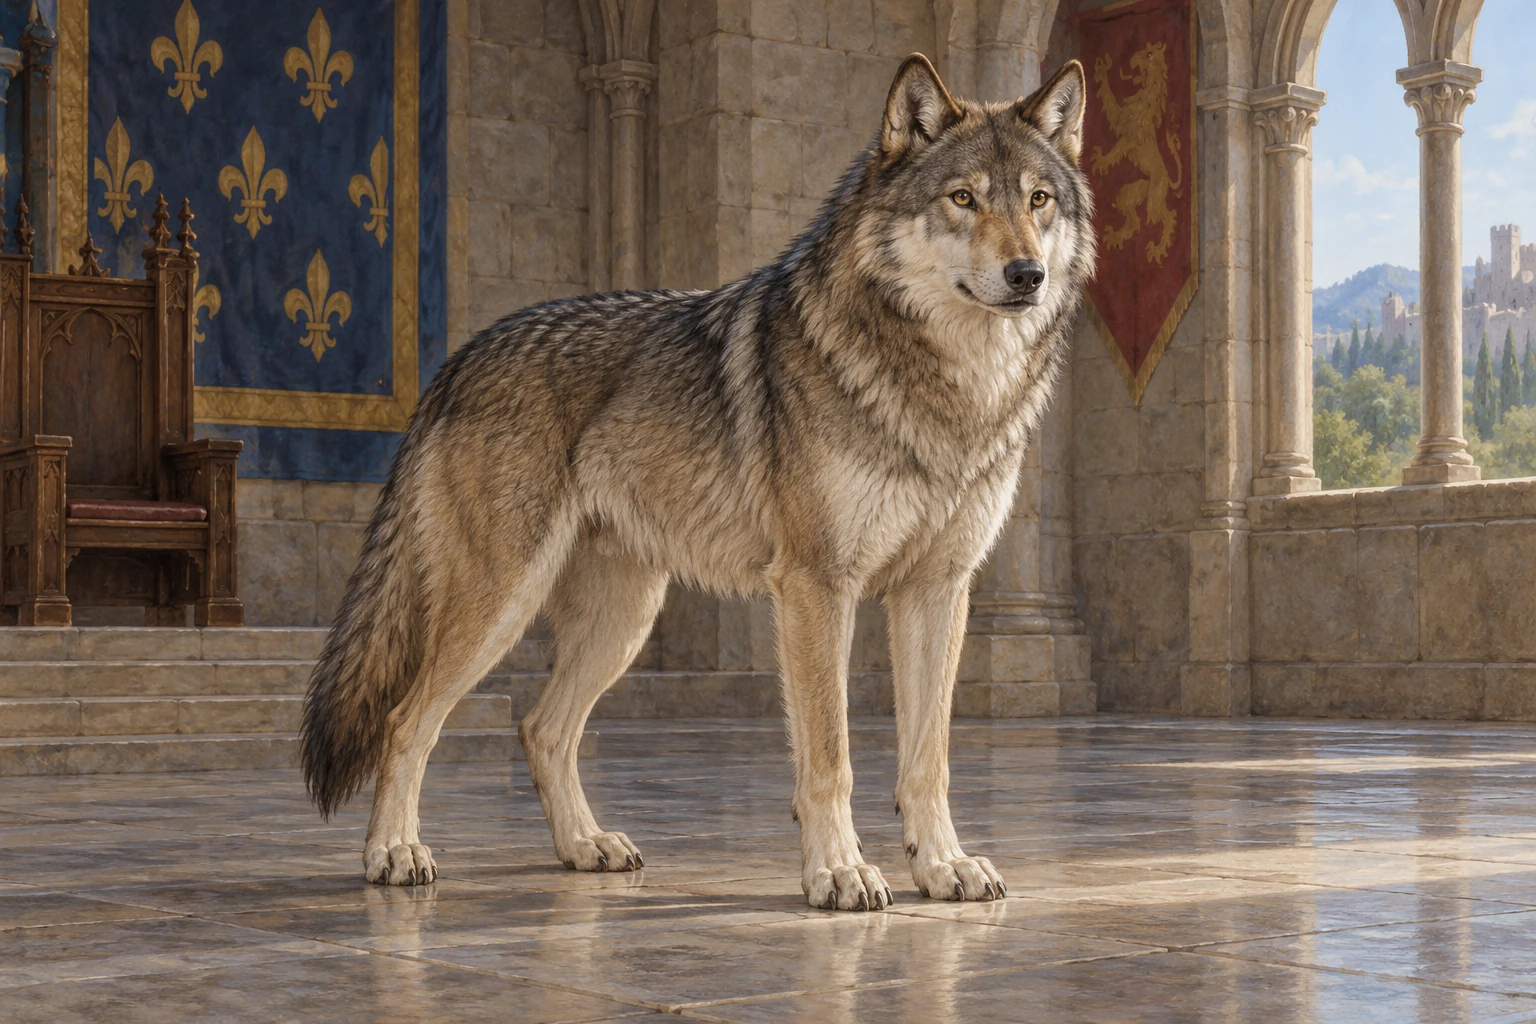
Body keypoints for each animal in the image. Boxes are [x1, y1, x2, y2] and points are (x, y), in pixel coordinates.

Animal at [301, 54, 1094, 912]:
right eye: (963, 198)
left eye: (1039, 200)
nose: (1027, 274)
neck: (951, 388)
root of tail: (455, 359)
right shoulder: (818, 586)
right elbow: (830, 758)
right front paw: (839, 870)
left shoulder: (938, 589)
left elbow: (928, 760)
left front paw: (943, 865)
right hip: (500, 605)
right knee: (406, 720)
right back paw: (394, 852)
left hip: (622, 621)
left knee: (541, 729)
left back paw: (584, 846)